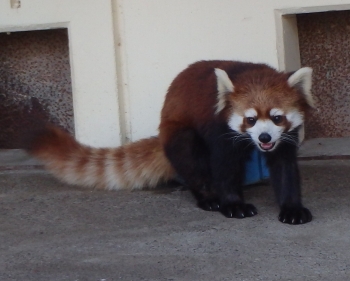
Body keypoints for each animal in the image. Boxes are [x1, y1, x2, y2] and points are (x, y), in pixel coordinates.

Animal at [25, 60, 314, 223]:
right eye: (250, 120)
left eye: (276, 118)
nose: (264, 137)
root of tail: (162, 132)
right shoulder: (218, 129)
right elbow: (224, 167)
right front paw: (233, 204)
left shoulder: (284, 138)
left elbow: (284, 168)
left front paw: (292, 208)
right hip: (178, 133)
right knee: (190, 158)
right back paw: (209, 198)